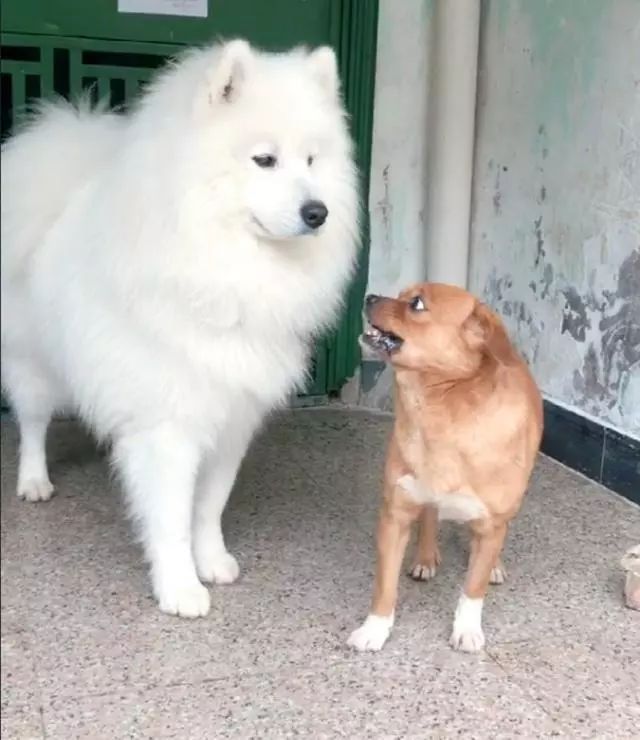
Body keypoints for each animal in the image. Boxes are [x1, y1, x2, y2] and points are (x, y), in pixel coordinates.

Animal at [0, 40, 358, 620]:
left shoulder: (231, 418)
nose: (318, 211)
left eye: (311, 161)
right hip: (33, 364)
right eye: (265, 160)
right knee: (32, 423)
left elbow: (208, 507)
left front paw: (211, 562)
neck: (226, 274)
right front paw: (180, 589)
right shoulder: (168, 427)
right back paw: (34, 481)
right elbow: (169, 518)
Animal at [348, 284, 544, 652]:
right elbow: (384, 586)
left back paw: (494, 565)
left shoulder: (492, 523)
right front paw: (375, 628)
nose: (369, 297)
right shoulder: (394, 516)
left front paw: (466, 628)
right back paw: (425, 558)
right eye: (402, 294)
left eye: (417, 304)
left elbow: (473, 589)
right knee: (430, 516)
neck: (439, 410)